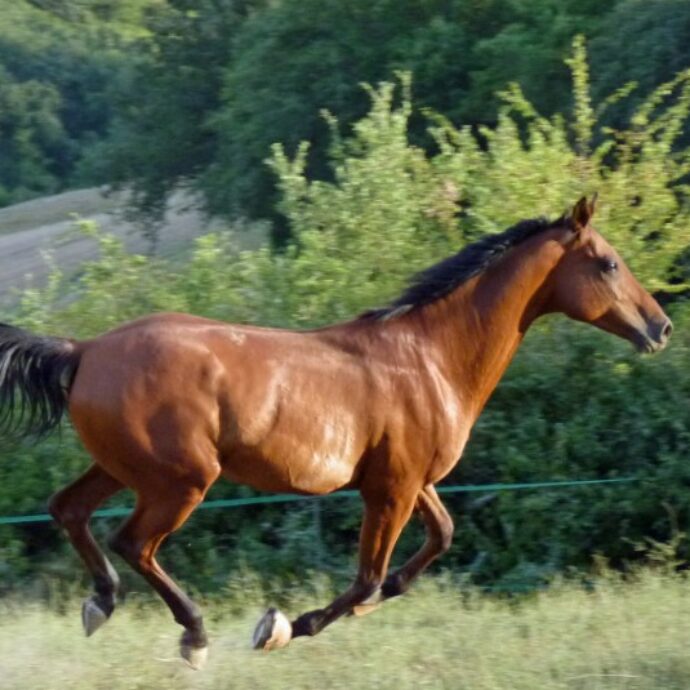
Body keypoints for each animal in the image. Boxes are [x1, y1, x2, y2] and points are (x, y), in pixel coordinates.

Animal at [0, 195, 668, 668]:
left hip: (123, 468)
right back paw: (194, 634)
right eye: (609, 263)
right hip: (181, 481)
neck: (430, 358)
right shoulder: (390, 490)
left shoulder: (413, 483)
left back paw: (100, 603)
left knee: (68, 509)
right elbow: (368, 576)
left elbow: (437, 542)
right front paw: (281, 628)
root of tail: (85, 350)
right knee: (133, 542)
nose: (659, 328)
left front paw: (348, 611)